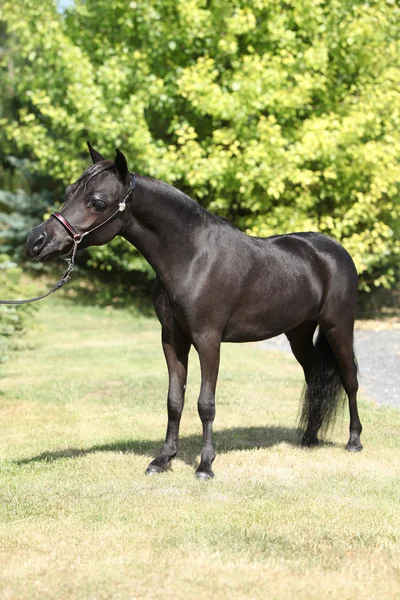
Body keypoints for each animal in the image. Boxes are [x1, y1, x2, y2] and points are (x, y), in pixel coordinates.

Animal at [25, 145, 362, 478]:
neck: (193, 258)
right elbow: (175, 400)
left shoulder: (208, 340)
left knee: (350, 379)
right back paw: (309, 438)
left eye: (97, 202)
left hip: (338, 327)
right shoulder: (173, 339)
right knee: (315, 378)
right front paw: (163, 460)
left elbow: (205, 403)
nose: (36, 241)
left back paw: (354, 441)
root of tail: (335, 250)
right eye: (69, 192)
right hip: (298, 334)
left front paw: (205, 465)